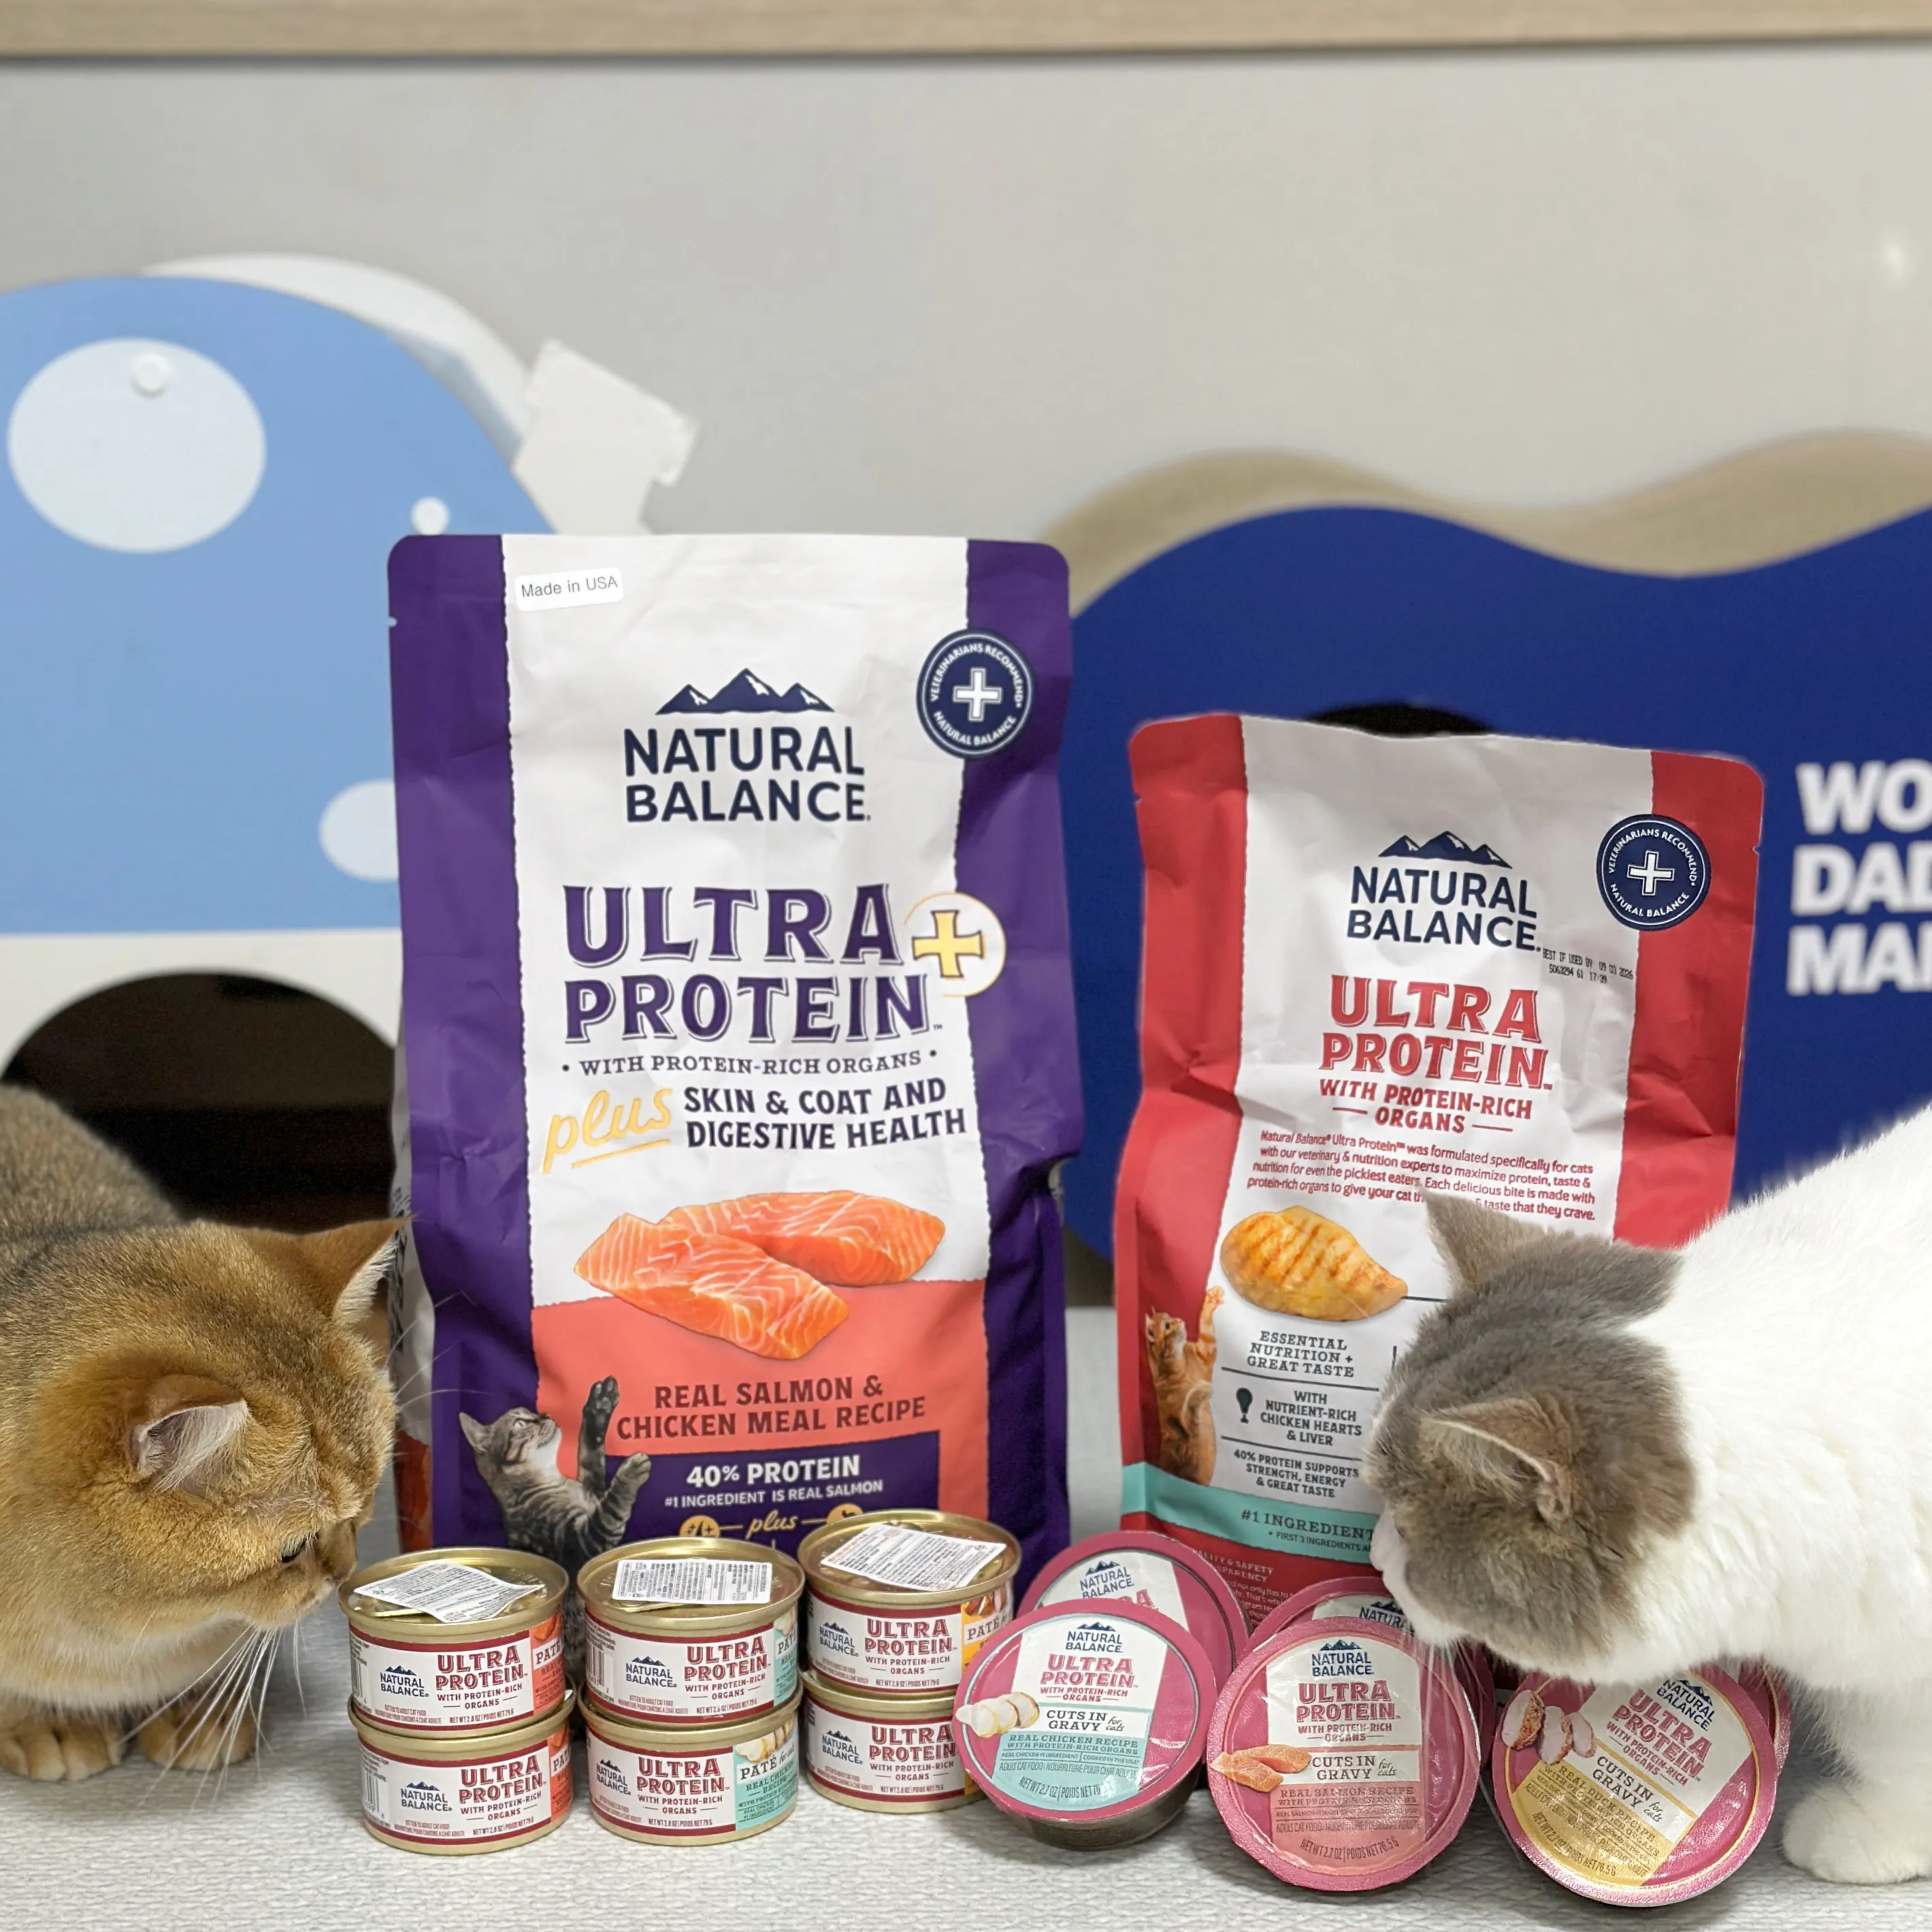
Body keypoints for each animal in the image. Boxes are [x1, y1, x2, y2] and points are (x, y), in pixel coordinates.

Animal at [1147, 1285, 1221, 1485]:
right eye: (1167, 1326)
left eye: (1170, 1316)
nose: (1179, 1320)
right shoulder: (1189, 1426)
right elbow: (1192, 1400)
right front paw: (1204, 1389)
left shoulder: (1205, 1349)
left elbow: (1205, 1325)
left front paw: (1211, 1300)